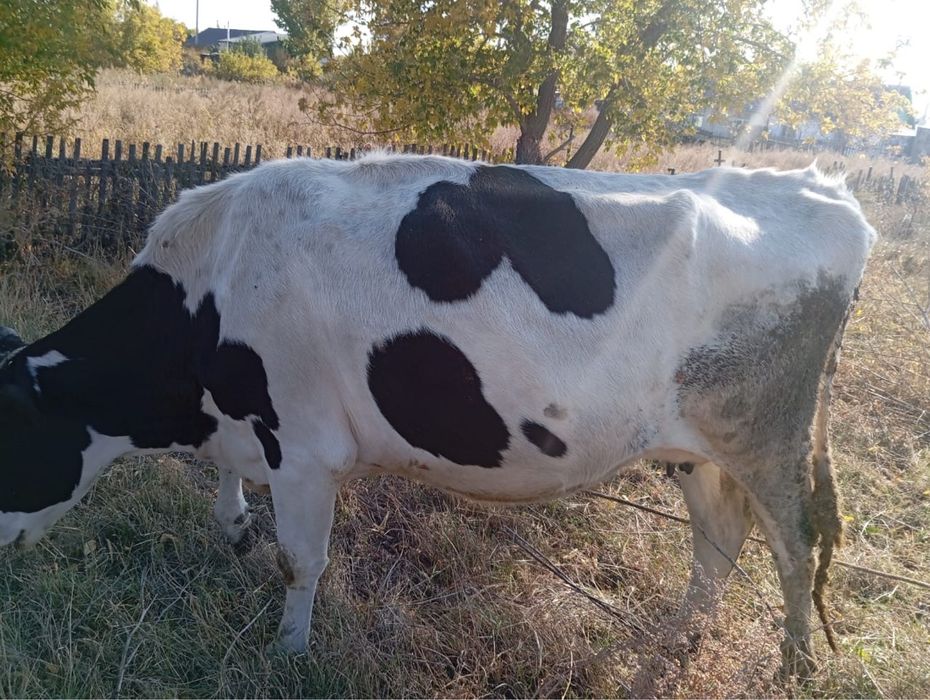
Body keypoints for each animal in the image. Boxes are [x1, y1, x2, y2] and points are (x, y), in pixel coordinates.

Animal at [0, 154, 875, 679]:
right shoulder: (254, 426)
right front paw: (234, 525)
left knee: (795, 548)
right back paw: (678, 639)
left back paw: (793, 667)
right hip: (694, 443)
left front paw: (288, 653)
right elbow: (233, 498)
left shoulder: (307, 446)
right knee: (719, 539)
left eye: (12, 442)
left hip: (770, 438)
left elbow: (300, 562)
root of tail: (820, 187)